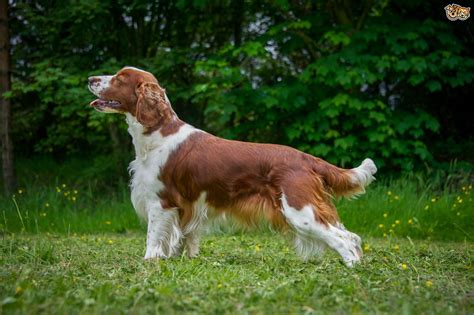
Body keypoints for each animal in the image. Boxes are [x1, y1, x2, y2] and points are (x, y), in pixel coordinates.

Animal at [88, 68, 378, 268]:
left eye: (120, 78)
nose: (90, 79)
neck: (157, 134)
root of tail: (307, 158)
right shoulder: (185, 208)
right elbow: (181, 238)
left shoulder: (160, 202)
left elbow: (152, 238)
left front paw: (149, 263)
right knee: (349, 235)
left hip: (300, 210)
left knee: (342, 239)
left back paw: (352, 268)